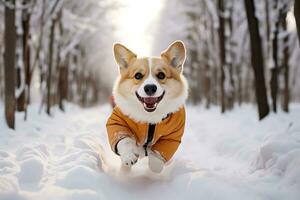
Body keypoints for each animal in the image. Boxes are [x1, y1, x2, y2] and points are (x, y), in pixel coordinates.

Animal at [106, 41, 188, 173]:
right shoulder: (117, 122)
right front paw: (129, 156)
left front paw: (154, 164)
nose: (150, 88)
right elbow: (124, 140)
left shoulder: (172, 136)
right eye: (138, 76)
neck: (149, 116)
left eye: (161, 75)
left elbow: (158, 156)